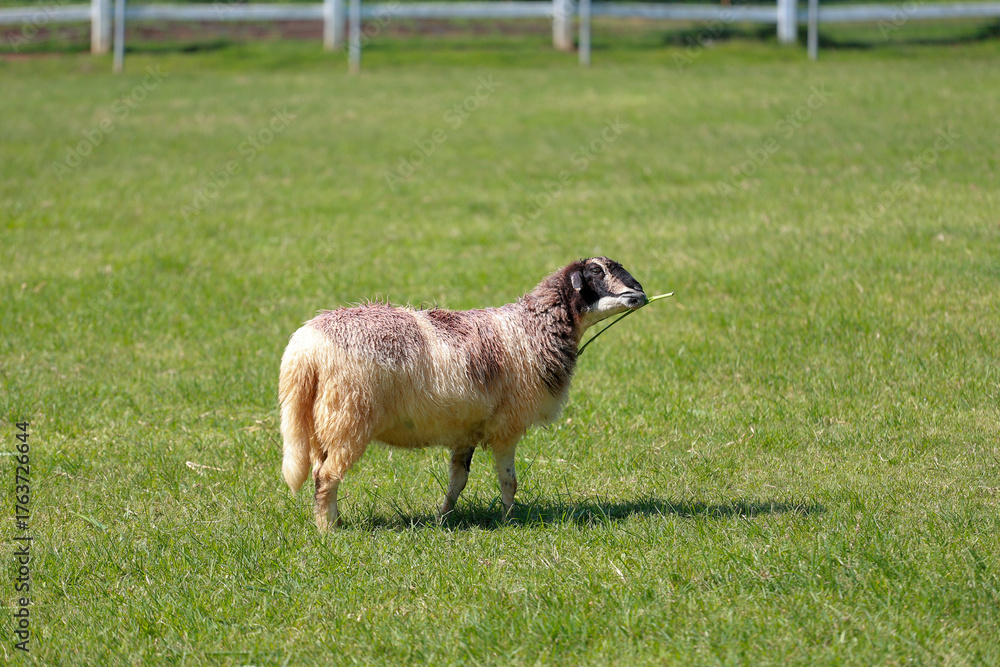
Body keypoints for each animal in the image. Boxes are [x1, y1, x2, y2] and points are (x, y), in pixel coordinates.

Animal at [279, 256, 647, 530]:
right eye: (596, 271)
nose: (640, 294)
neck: (531, 329)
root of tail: (305, 349)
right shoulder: (507, 429)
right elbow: (508, 481)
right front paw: (511, 520)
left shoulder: (465, 430)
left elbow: (457, 481)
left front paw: (443, 518)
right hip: (347, 419)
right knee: (326, 477)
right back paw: (329, 530)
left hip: (321, 424)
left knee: (318, 472)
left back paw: (333, 520)